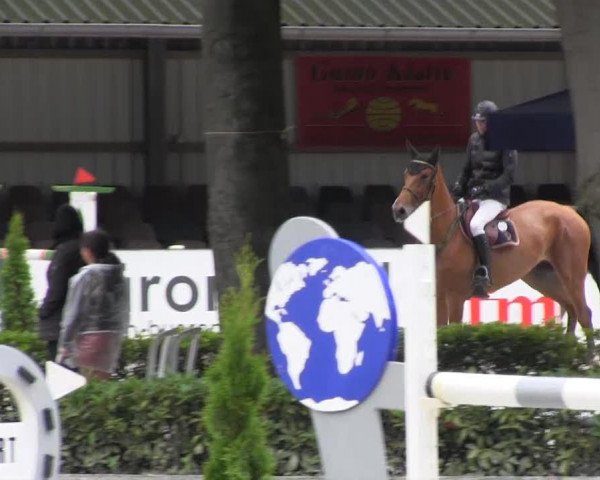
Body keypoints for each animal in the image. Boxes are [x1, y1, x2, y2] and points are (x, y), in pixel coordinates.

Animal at [392, 142, 592, 348]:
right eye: (406, 174)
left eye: (424, 176)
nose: (398, 210)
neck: (448, 233)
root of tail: (568, 210)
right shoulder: (439, 296)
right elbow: (440, 332)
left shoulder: (455, 297)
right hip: (542, 277)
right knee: (571, 309)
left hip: (572, 276)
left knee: (584, 314)